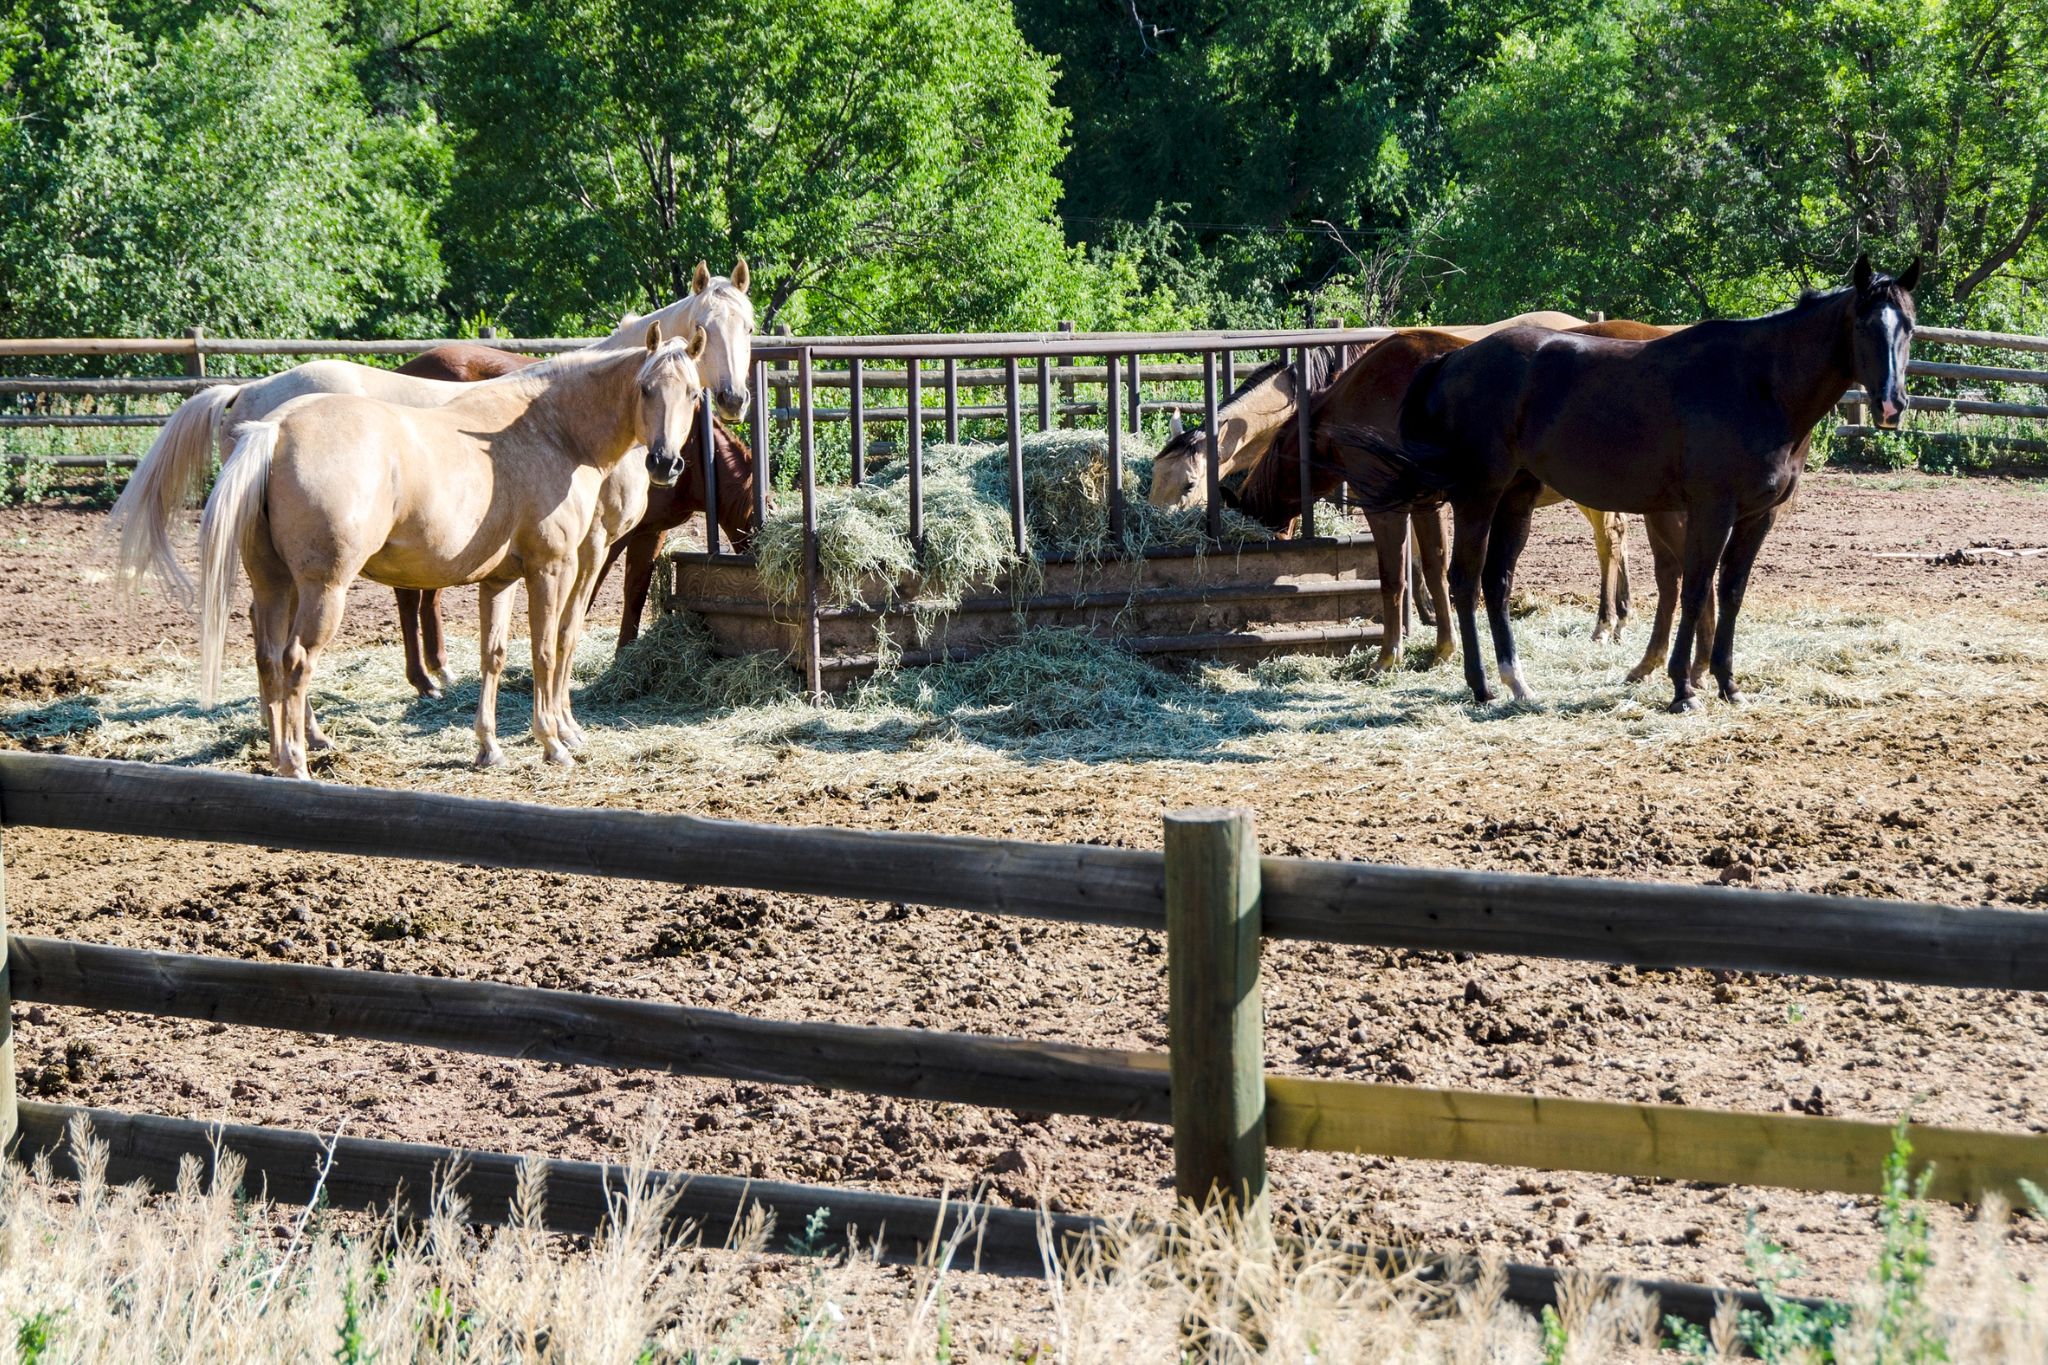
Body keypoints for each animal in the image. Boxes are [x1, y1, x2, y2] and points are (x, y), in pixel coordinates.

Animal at [197, 325, 707, 778]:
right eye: (645, 388)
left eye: (693, 395)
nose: (665, 462)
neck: (554, 430)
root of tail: (275, 428)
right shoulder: (552, 567)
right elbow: (546, 649)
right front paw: (553, 743)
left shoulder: (500, 580)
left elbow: (492, 654)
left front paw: (489, 748)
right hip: (324, 589)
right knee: (297, 662)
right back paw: (298, 761)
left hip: (274, 582)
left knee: (268, 657)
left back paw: (277, 754)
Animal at [1145, 311, 1637, 642]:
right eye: (1153, 479)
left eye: (1188, 485)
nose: (1151, 536)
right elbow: (1417, 552)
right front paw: (1427, 611)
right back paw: (1622, 612)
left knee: (1609, 537)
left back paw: (1605, 621)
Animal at [1227, 320, 1703, 680]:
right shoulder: (1425, 504)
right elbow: (1436, 569)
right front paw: (1443, 646)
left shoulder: (1387, 507)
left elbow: (1393, 578)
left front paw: (1389, 656)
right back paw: (1624, 625)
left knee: (1617, 545)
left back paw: (1610, 626)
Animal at [1338, 254, 1918, 712]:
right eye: (1864, 326)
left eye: (1908, 327)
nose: (1892, 405)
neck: (1759, 383)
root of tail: (1452, 357)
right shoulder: (1712, 510)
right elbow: (1696, 587)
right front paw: (1683, 688)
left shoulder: (1758, 516)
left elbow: (1730, 592)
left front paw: (1728, 685)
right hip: (1478, 495)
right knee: (1463, 580)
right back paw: (1481, 687)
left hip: (1516, 499)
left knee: (1495, 581)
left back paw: (1517, 683)